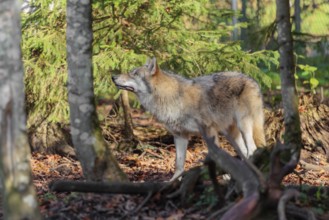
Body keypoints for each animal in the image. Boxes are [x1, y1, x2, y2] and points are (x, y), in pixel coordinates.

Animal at [111, 57, 266, 180]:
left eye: (134, 73)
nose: (113, 77)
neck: (171, 98)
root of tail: (253, 80)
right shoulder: (180, 136)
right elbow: (179, 164)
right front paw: (173, 183)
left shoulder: (209, 132)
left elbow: (217, 158)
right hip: (233, 134)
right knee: (244, 152)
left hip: (243, 126)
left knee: (252, 149)